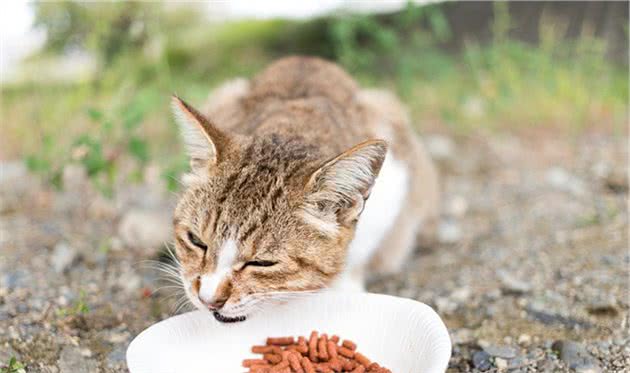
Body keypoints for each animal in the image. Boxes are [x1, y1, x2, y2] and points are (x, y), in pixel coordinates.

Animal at [172, 56, 440, 322]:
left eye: (262, 263)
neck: (294, 128)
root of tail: (308, 58)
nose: (208, 300)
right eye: (196, 241)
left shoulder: (394, 186)